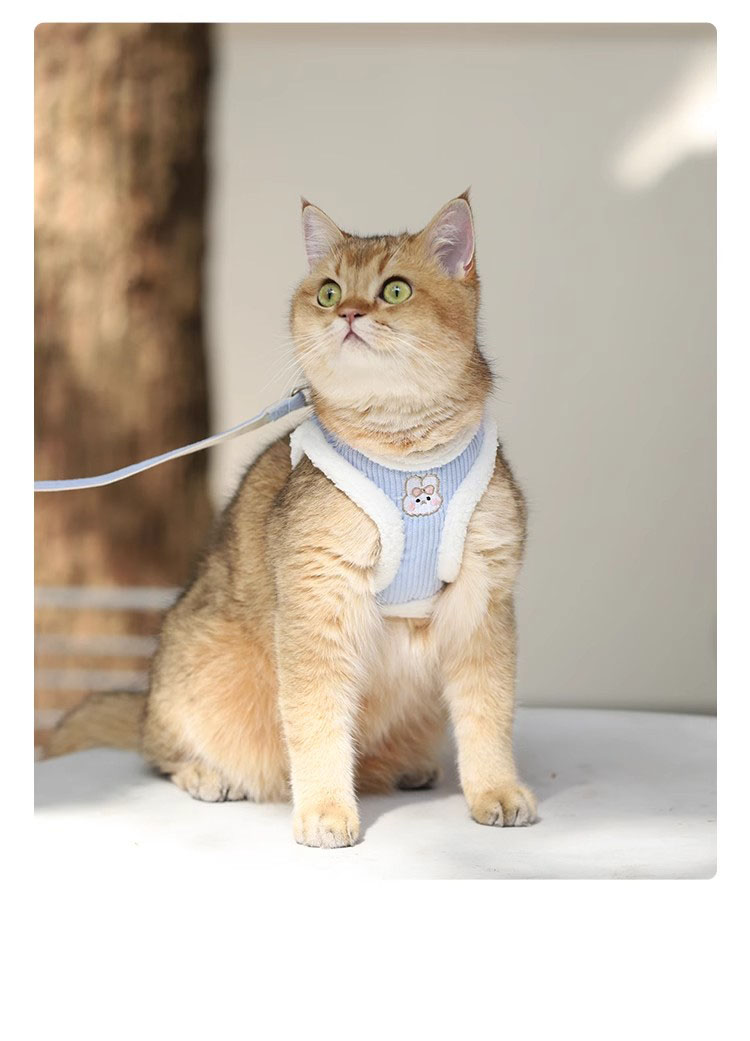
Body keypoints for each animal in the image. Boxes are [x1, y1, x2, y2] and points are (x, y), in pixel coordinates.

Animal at [48, 191, 537, 847]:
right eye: (328, 292)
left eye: (396, 290)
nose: (348, 313)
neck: (409, 458)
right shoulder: (317, 599)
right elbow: (317, 720)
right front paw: (327, 811)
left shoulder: (485, 598)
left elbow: (488, 713)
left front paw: (496, 791)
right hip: (197, 664)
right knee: (158, 750)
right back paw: (208, 774)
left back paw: (405, 765)